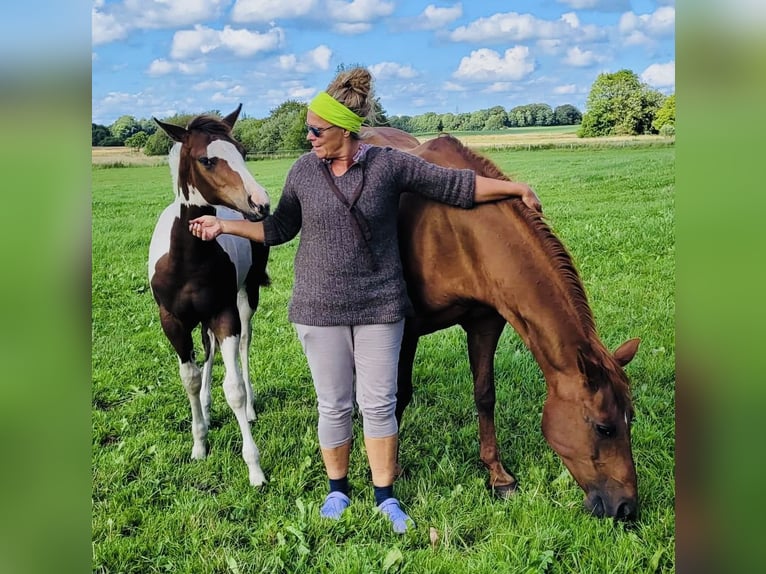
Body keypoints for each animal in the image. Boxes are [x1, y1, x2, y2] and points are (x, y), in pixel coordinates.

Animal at [148, 106, 272, 488]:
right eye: (206, 159)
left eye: (243, 152)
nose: (261, 204)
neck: (187, 260)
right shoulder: (172, 321)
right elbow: (189, 378)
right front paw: (199, 444)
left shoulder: (224, 313)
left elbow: (234, 388)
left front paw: (254, 468)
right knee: (208, 351)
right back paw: (205, 403)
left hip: (246, 296)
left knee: (243, 344)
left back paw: (250, 409)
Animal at [364, 129, 640, 520]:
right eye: (604, 428)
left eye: (631, 417)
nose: (626, 508)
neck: (454, 229)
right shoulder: (405, 329)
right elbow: (398, 395)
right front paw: (391, 467)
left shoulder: (485, 323)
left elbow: (485, 394)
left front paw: (498, 475)